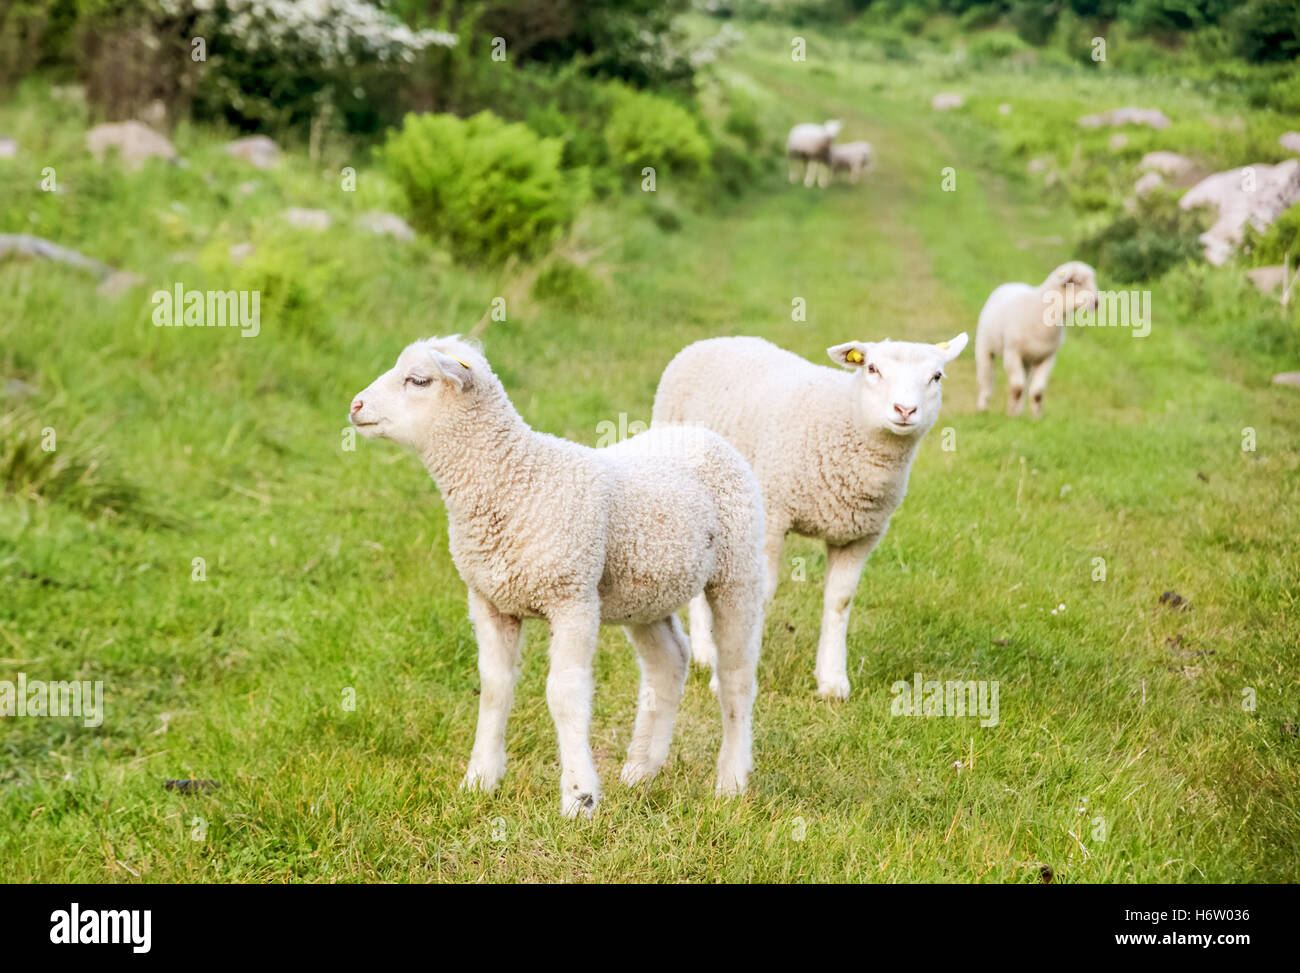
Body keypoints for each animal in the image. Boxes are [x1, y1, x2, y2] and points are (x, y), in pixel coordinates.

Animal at [351, 335, 764, 811]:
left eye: (418, 380)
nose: (355, 405)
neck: (514, 479)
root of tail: (702, 433)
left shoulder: (572, 598)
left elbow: (564, 695)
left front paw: (579, 797)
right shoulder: (490, 600)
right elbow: (495, 689)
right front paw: (480, 780)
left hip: (739, 571)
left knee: (736, 676)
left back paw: (731, 780)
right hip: (646, 593)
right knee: (668, 663)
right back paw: (641, 769)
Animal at [650, 335, 967, 697]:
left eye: (936, 377)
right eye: (872, 368)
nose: (905, 410)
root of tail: (715, 340)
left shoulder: (861, 536)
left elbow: (840, 601)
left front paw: (832, 681)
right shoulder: (773, 517)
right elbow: (761, 596)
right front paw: (731, 678)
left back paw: (705, 651)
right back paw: (705, 652)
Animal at [977, 260, 1097, 416]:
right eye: (1076, 281)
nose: (1097, 303)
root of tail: (1012, 284)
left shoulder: (1048, 358)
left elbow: (1037, 393)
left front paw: (1035, 418)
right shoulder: (1012, 352)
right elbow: (1017, 387)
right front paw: (1010, 415)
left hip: (1027, 360)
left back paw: (1018, 411)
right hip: (984, 346)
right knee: (985, 378)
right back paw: (982, 407)